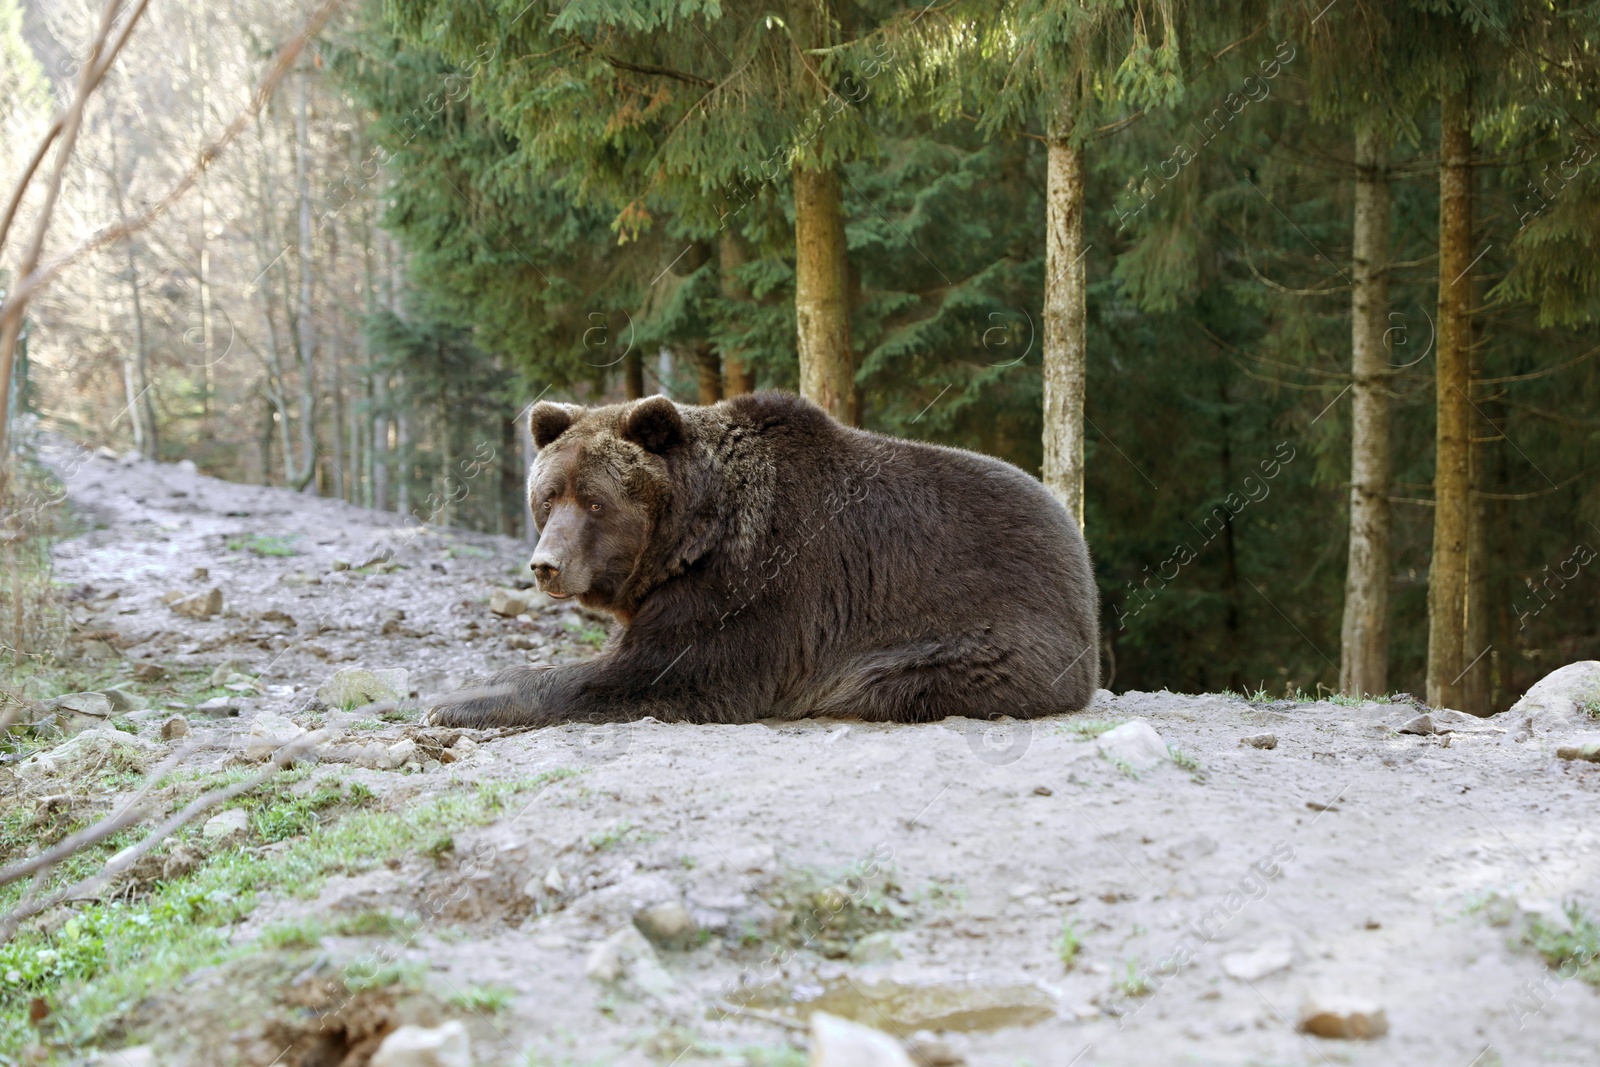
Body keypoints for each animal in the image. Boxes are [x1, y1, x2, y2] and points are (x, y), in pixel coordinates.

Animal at [428, 396, 1100, 729]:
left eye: (595, 501)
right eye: (548, 497)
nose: (546, 565)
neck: (693, 536)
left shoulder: (756, 584)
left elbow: (659, 671)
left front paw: (459, 700)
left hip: (991, 631)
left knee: (889, 680)